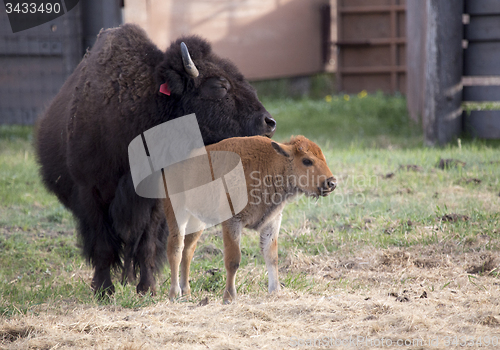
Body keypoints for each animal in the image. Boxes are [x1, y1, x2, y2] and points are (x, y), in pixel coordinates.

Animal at [34, 23, 278, 296]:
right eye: (219, 86)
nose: (268, 122)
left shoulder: (156, 200)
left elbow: (147, 245)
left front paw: (147, 288)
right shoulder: (90, 194)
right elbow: (102, 246)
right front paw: (104, 290)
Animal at [164, 135, 336, 302]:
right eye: (307, 160)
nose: (331, 182)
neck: (272, 164)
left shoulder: (272, 222)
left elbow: (271, 257)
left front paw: (275, 291)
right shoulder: (232, 222)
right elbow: (233, 260)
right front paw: (229, 297)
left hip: (197, 220)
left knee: (188, 251)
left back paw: (186, 293)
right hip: (177, 214)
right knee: (176, 250)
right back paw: (174, 294)